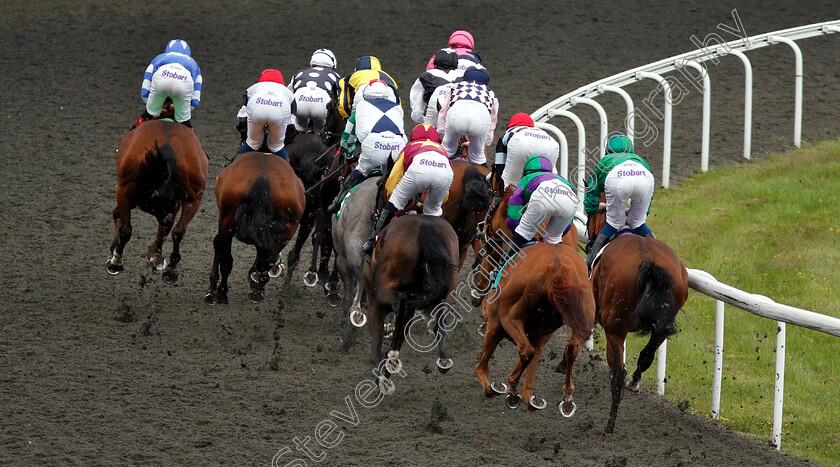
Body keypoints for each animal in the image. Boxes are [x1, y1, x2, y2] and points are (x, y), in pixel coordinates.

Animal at [106, 119, 209, 284]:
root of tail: (167, 148)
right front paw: (156, 257)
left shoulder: (126, 196)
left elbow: (119, 219)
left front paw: (115, 250)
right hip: (193, 199)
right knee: (177, 231)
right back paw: (169, 268)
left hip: (125, 191)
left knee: (126, 229)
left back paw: (116, 261)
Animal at [203, 150, 306, 304]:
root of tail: (262, 179)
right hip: (287, 229)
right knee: (266, 256)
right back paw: (256, 289)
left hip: (228, 220)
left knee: (227, 256)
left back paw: (222, 292)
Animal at [362, 216, 460, 394]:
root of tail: (426, 226)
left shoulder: (375, 305)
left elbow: (377, 345)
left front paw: (383, 377)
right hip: (451, 285)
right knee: (442, 314)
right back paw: (443, 357)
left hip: (383, 290)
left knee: (400, 303)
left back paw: (391, 360)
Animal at [472, 241, 596, 414]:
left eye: (486, 251)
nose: (479, 284)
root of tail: (558, 267)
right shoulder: (541, 336)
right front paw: (528, 396)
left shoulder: (496, 324)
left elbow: (482, 366)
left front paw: (492, 387)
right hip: (583, 319)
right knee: (571, 348)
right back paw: (567, 397)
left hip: (511, 318)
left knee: (526, 350)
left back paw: (512, 388)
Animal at [588, 210, 684, 434]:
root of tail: (649, 263)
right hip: (661, 327)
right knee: (646, 357)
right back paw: (633, 382)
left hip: (615, 328)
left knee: (617, 376)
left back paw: (610, 425)